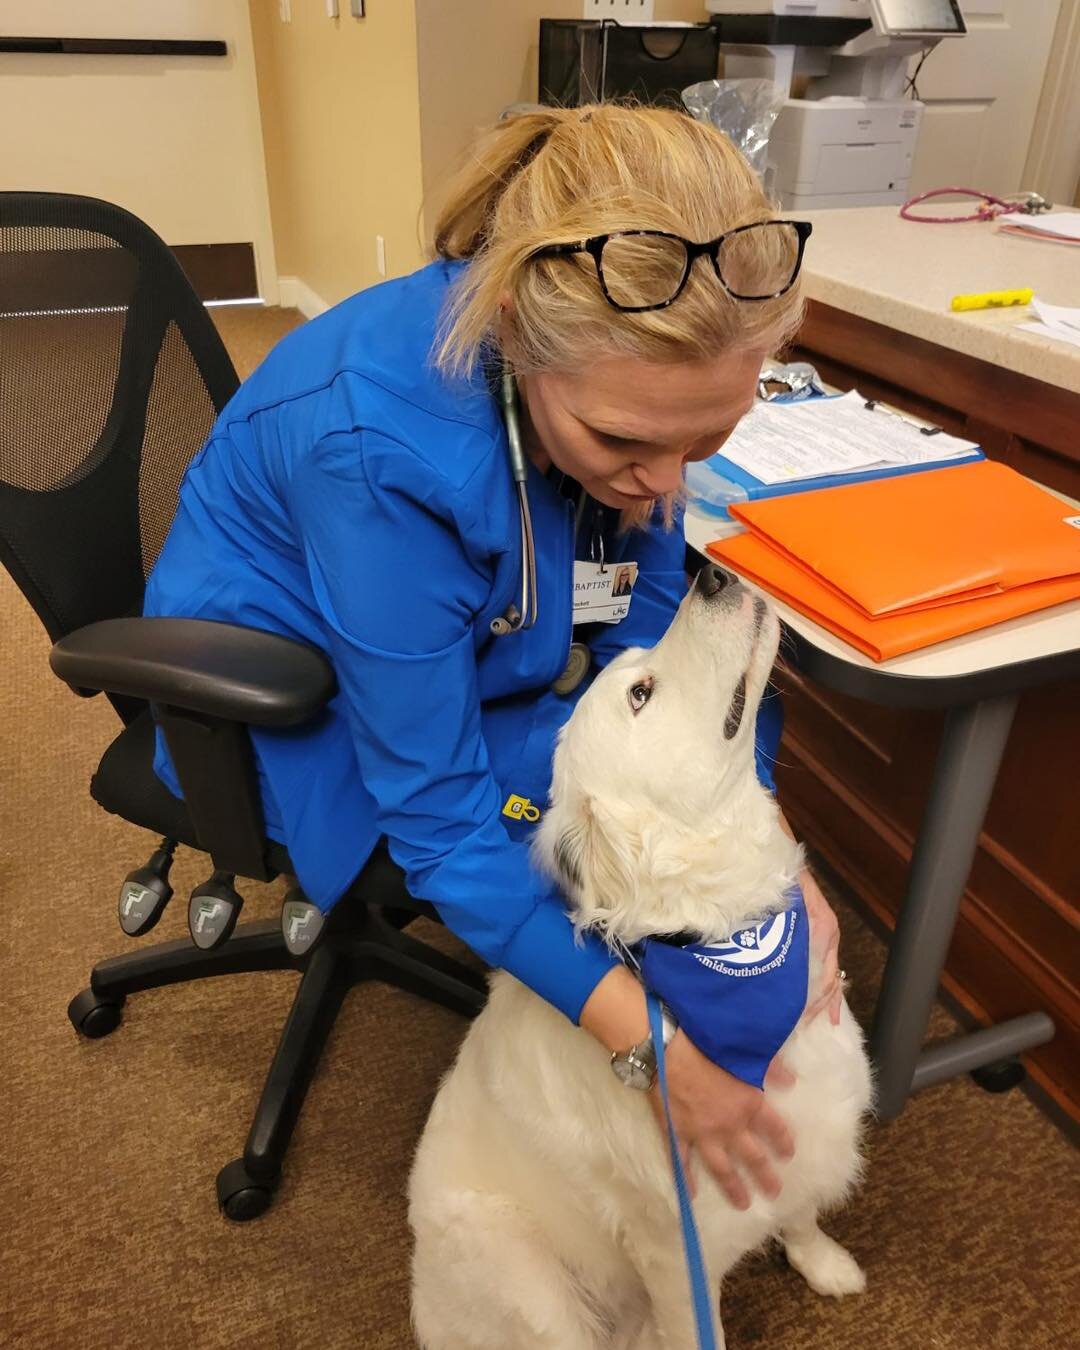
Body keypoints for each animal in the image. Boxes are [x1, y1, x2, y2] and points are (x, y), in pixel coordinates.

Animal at [410, 564, 874, 1344]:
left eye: (639, 668)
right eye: (640, 694)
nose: (712, 573)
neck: (726, 944)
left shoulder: (810, 1133)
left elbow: (803, 1209)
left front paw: (824, 1263)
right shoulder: (677, 1259)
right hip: (528, 1281)